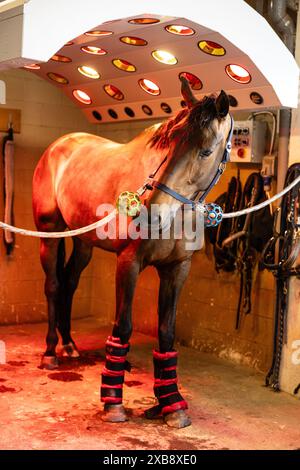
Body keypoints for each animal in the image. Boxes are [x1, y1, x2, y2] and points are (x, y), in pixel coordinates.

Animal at [32, 78, 233, 430]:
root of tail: (59, 145)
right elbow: (122, 326)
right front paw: (113, 403)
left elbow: (166, 332)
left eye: (206, 150)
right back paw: (51, 353)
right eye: (168, 144)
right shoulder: (129, 262)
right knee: (54, 286)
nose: (152, 211)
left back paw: (70, 345)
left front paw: (171, 404)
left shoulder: (177, 269)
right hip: (50, 234)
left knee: (69, 283)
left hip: (83, 242)